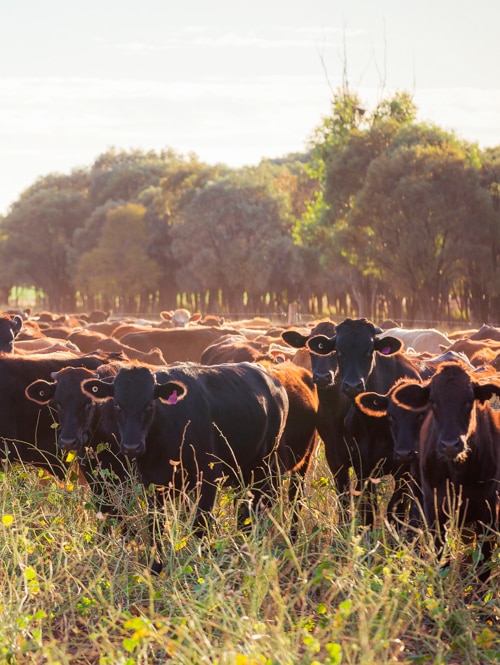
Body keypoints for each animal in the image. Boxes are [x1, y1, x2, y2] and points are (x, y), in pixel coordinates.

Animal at [81, 362, 289, 573]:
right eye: (116, 403)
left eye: (149, 404)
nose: (132, 446)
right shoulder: (152, 484)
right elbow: (155, 524)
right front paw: (156, 565)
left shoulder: (208, 478)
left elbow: (200, 525)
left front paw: (208, 560)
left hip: (263, 466)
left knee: (255, 507)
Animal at [306, 317, 422, 525]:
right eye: (339, 351)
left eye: (369, 351)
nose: (353, 385)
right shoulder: (362, 466)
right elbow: (367, 510)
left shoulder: (405, 470)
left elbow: (396, 510)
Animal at [391, 361, 500, 582]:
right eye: (433, 401)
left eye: (469, 400)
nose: (450, 444)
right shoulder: (434, 507)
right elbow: (441, 556)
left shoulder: (489, 510)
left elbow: (483, 564)